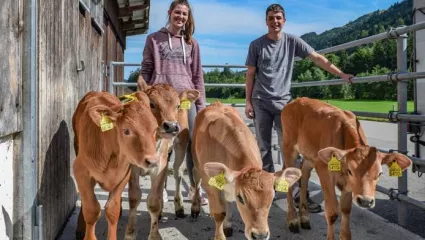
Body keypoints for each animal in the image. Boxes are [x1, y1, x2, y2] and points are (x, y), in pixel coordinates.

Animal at [72, 90, 158, 240]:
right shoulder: (81, 172)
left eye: (155, 129)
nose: (152, 160)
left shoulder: (124, 175)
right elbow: (91, 210)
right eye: (126, 130)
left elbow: (112, 210)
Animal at [124, 78, 200, 240]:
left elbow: (153, 202)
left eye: (177, 105)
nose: (171, 126)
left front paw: (154, 235)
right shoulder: (132, 167)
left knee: (178, 173)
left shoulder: (160, 166)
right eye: (151, 104)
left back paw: (179, 207)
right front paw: (130, 233)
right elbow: (134, 198)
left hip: (180, 144)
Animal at [190, 101, 300, 240]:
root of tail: (216, 103)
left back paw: (228, 225)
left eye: (271, 197)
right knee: (196, 179)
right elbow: (219, 214)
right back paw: (195, 208)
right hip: (196, 161)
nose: (260, 235)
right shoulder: (210, 184)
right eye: (241, 198)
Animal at [280, 96, 410, 239]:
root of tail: (297, 100)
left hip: (310, 155)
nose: (365, 201)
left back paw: (304, 218)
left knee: (304, 175)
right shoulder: (324, 172)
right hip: (289, 147)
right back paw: (292, 220)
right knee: (289, 179)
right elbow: (332, 213)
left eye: (380, 174)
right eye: (350, 171)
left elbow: (346, 209)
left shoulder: (347, 183)